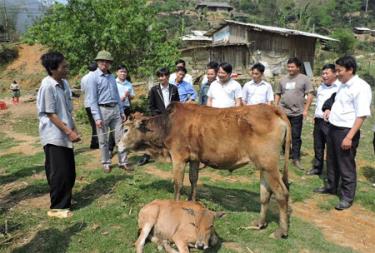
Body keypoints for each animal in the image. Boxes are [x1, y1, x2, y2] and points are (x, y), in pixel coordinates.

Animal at [122, 102, 292, 238]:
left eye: (125, 130)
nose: (118, 146)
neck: (167, 124)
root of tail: (273, 109)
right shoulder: (194, 158)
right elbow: (193, 179)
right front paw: (192, 201)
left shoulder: (178, 156)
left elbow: (177, 184)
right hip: (263, 167)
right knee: (265, 194)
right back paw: (260, 222)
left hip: (269, 165)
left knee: (281, 193)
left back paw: (281, 231)